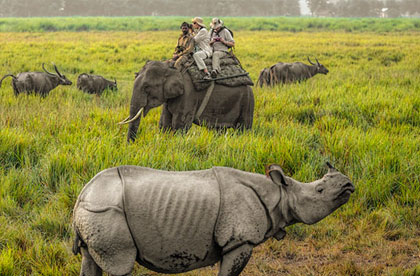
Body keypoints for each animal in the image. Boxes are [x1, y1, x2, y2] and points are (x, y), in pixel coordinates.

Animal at [73, 163, 354, 274]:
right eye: (320, 190)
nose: (348, 184)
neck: (279, 193)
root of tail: (82, 196)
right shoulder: (239, 241)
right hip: (105, 212)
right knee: (120, 266)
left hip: (93, 213)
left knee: (90, 260)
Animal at [120, 60, 254, 142]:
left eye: (146, 87)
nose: (131, 145)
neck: (171, 67)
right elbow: (164, 122)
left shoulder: (188, 94)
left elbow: (180, 124)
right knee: (218, 129)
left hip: (247, 101)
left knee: (243, 128)